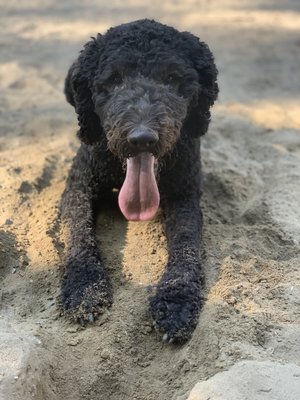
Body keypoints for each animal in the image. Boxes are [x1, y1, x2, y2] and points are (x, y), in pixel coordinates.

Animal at [59, 18, 217, 342]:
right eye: (114, 79)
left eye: (172, 78)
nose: (142, 138)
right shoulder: (78, 187)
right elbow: (78, 231)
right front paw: (84, 288)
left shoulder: (185, 196)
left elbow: (187, 244)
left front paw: (176, 300)